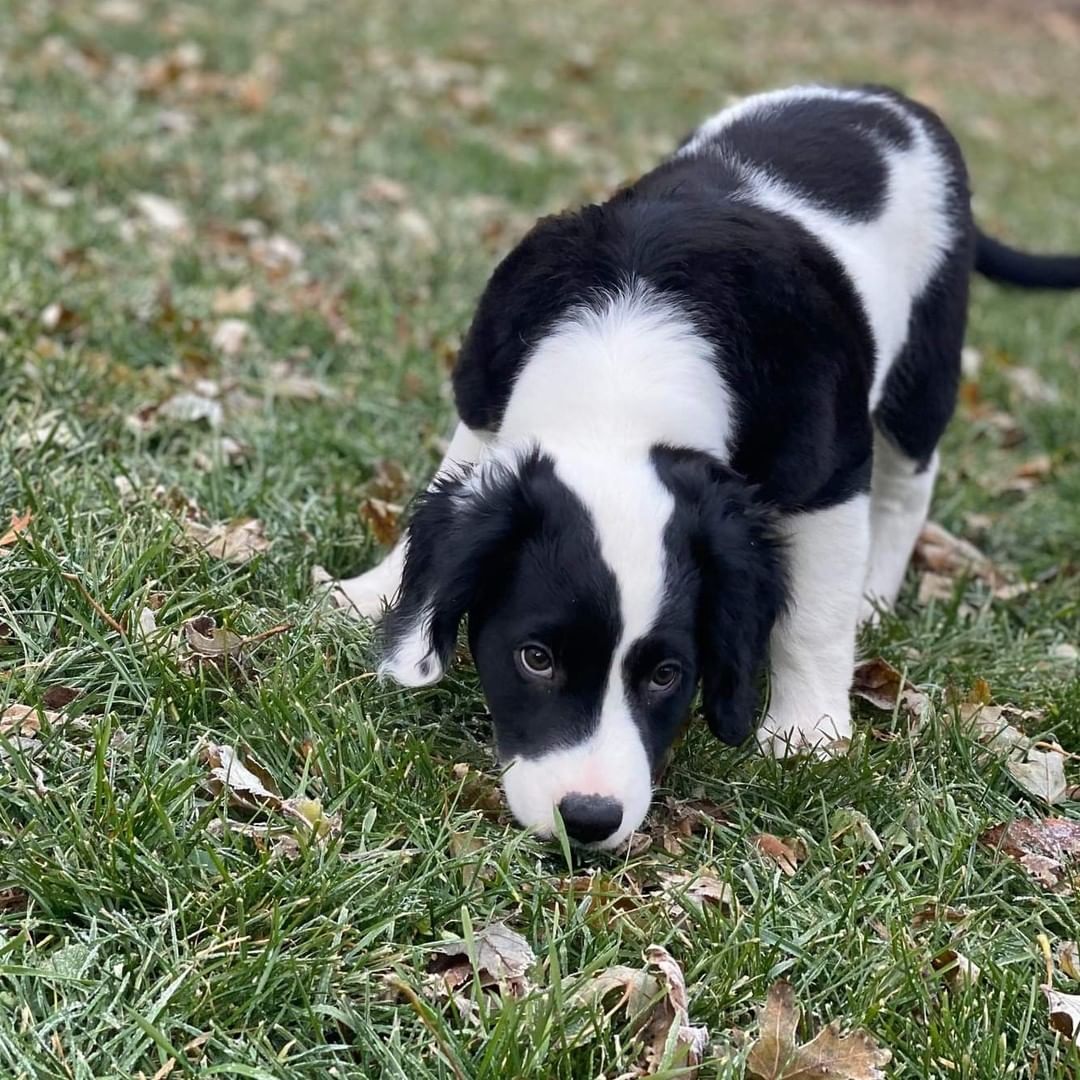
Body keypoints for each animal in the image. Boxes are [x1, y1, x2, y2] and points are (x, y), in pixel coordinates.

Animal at [332, 84, 1075, 851]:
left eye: (668, 675)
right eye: (535, 657)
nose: (589, 818)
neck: (624, 373)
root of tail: (888, 100)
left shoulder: (828, 475)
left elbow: (816, 613)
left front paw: (809, 731)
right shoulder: (483, 389)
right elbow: (457, 479)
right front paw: (377, 597)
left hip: (926, 358)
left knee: (908, 480)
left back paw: (875, 593)